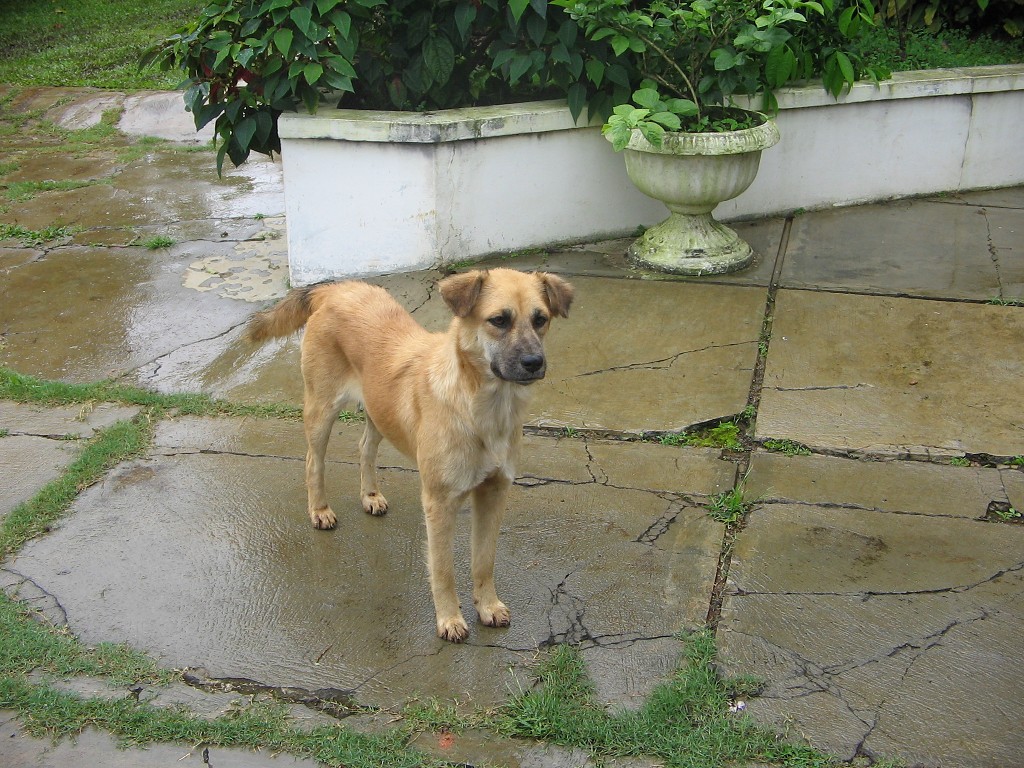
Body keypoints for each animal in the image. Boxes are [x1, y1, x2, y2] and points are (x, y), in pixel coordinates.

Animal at [247, 269, 574, 642]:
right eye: (499, 320)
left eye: (540, 319)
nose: (534, 363)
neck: (481, 408)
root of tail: (335, 289)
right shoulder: (439, 502)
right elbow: (443, 569)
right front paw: (449, 619)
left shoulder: (494, 493)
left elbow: (484, 560)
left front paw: (487, 606)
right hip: (321, 408)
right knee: (313, 461)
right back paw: (319, 510)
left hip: (378, 410)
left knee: (365, 447)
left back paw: (370, 496)